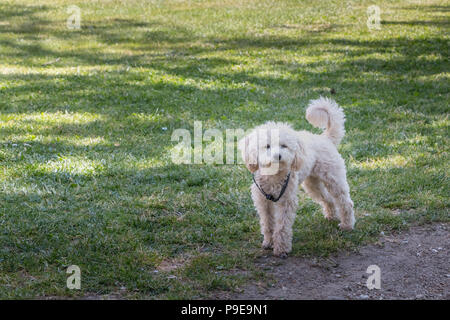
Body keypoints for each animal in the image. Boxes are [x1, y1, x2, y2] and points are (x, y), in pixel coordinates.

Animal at [239, 97, 356, 258]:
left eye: (283, 145)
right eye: (267, 146)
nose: (277, 156)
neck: (274, 176)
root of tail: (325, 138)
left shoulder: (286, 201)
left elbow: (282, 226)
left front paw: (281, 248)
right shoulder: (263, 201)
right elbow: (267, 223)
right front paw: (268, 242)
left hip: (334, 179)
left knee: (345, 203)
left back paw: (347, 225)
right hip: (312, 184)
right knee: (328, 199)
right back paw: (331, 216)